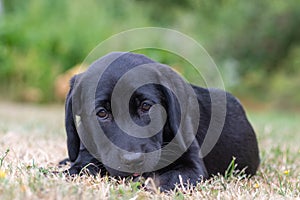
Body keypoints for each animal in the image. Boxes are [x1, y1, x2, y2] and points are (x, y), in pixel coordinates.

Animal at [63, 51, 260, 191]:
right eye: (102, 113)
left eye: (146, 106)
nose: (133, 160)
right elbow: (80, 168)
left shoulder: (191, 167)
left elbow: (168, 180)